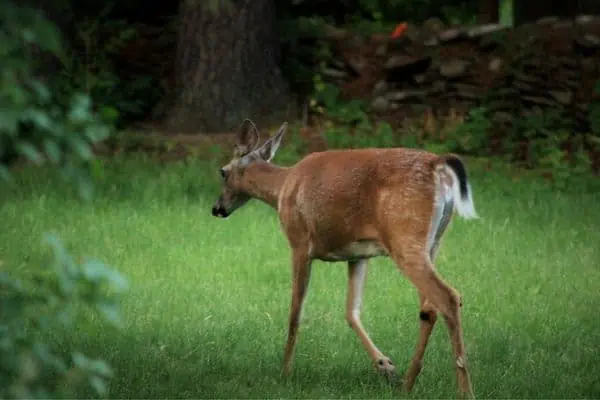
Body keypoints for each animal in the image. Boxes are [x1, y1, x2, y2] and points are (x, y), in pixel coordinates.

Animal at [211, 118, 478, 396]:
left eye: (222, 171)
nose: (217, 209)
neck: (283, 188)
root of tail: (437, 163)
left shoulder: (299, 243)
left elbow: (295, 312)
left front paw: (284, 374)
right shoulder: (358, 254)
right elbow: (351, 311)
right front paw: (386, 366)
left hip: (406, 238)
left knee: (448, 297)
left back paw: (465, 390)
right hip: (433, 243)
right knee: (428, 308)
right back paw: (408, 383)